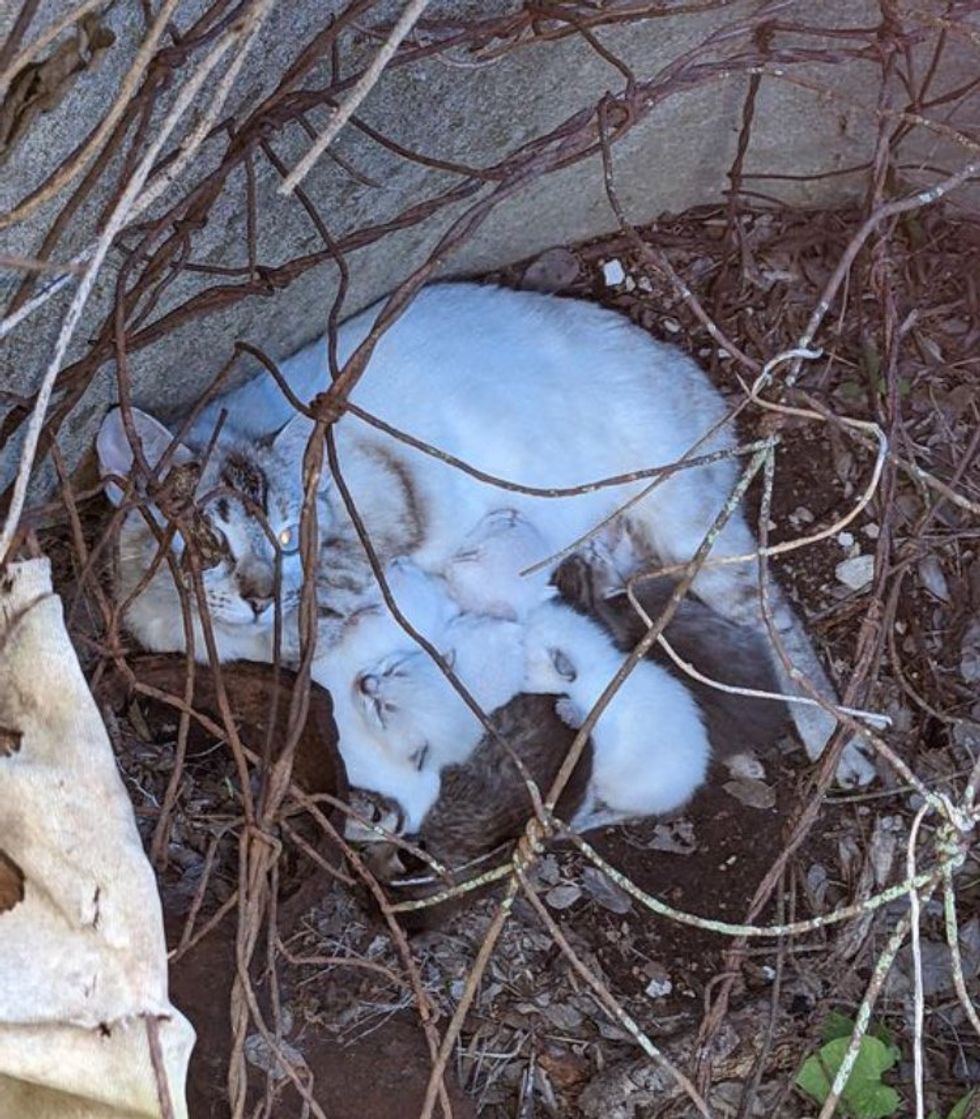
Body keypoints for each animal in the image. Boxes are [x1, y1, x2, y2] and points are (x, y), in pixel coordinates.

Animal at [99, 279, 877, 787]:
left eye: (292, 537)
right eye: (211, 544)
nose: (259, 594)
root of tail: (696, 372)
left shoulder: (386, 507)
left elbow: (323, 612)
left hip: (694, 529)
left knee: (776, 615)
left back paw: (838, 748)